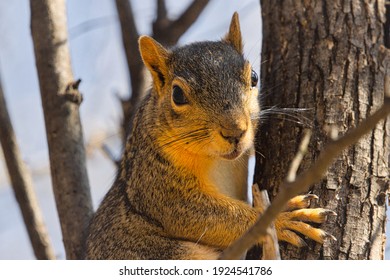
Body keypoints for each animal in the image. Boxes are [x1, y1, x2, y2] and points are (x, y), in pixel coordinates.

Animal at [85, 12, 332, 260]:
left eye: (254, 77)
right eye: (177, 94)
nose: (235, 131)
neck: (216, 158)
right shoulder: (155, 181)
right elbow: (195, 213)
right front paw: (279, 219)